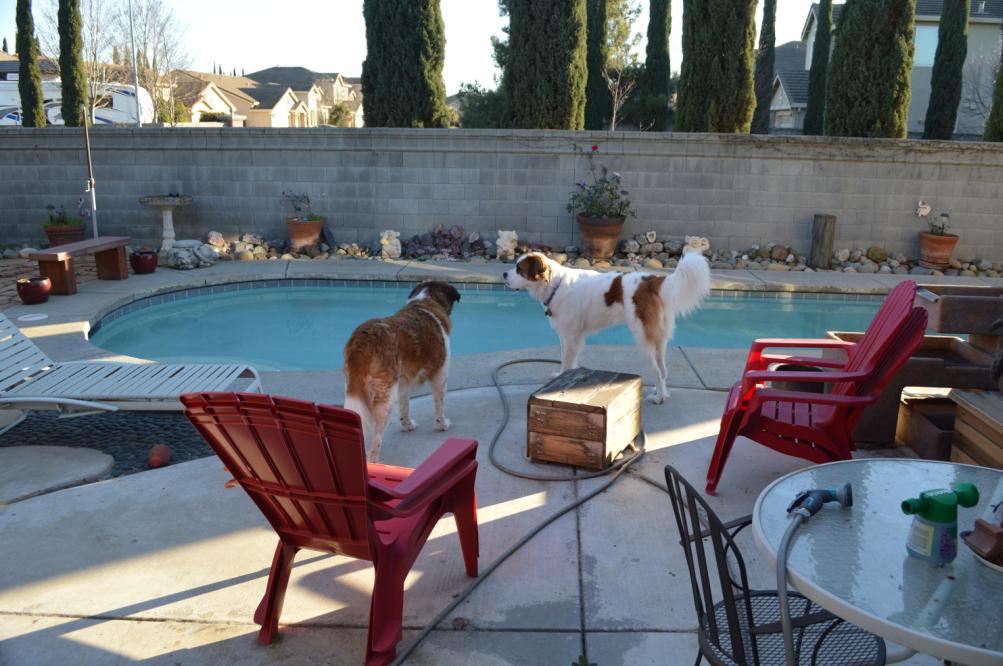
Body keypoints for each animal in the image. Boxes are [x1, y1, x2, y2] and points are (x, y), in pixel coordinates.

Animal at [343, 280, 461, 461]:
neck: (426, 301)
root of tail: (363, 340)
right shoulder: (440, 375)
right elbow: (439, 405)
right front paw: (442, 425)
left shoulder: (404, 381)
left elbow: (405, 405)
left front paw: (407, 425)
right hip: (384, 397)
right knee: (376, 439)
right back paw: (374, 461)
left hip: (354, 389)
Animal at [503, 237, 711, 404]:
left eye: (519, 269)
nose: (504, 274)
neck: (555, 284)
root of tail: (651, 280)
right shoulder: (570, 337)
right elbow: (567, 360)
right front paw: (562, 377)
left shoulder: (570, 336)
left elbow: (567, 361)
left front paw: (561, 381)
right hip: (659, 340)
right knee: (663, 369)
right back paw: (661, 392)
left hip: (644, 339)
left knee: (657, 371)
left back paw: (659, 398)